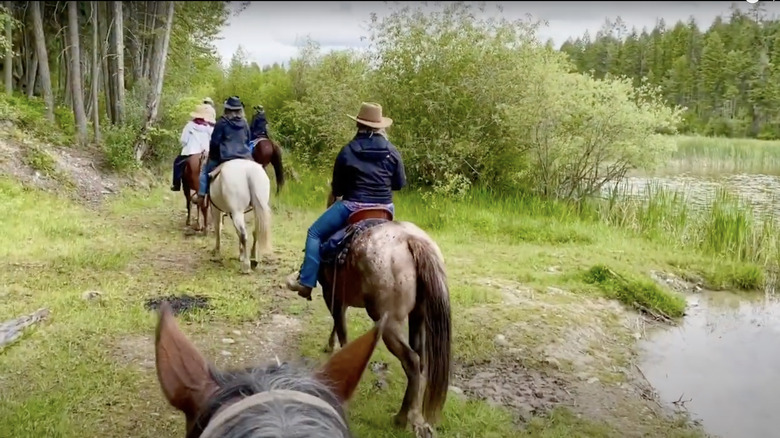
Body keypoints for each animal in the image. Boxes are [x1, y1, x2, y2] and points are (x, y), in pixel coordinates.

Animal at [316, 193, 450, 436]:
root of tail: (411, 240)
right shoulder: (341, 298)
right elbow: (338, 324)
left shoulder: (332, 294)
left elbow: (340, 327)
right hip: (418, 315)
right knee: (421, 358)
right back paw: (415, 417)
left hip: (389, 322)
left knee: (412, 360)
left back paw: (401, 418)